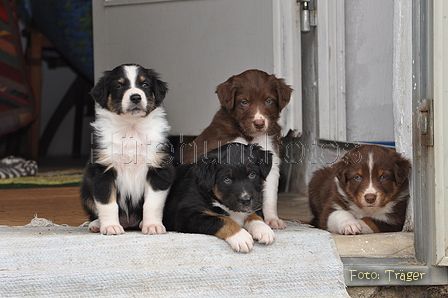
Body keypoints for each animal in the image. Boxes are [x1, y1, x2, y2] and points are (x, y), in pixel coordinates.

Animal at [81, 64, 175, 235]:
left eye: (145, 84)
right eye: (119, 86)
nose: (136, 97)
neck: (131, 129)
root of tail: (129, 222)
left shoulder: (159, 168)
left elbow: (152, 203)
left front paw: (152, 226)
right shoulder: (102, 170)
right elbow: (107, 203)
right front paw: (110, 227)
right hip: (85, 190)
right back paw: (97, 224)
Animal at [182, 68, 294, 229]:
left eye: (269, 101)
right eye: (244, 102)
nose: (259, 123)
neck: (249, 136)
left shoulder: (271, 160)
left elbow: (270, 196)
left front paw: (272, 220)